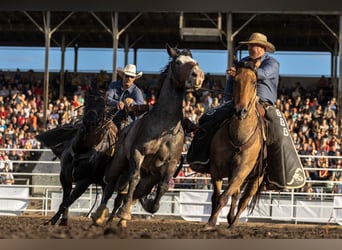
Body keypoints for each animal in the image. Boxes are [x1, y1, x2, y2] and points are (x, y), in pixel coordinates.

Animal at [36, 84, 118, 227]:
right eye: (87, 101)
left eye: (103, 105)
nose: (89, 122)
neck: (82, 148)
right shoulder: (64, 176)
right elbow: (65, 200)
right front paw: (61, 221)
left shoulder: (84, 181)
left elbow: (67, 201)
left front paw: (52, 221)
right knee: (106, 196)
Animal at [90, 44, 203, 227]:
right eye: (178, 62)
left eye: (196, 62)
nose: (198, 75)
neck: (164, 122)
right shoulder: (138, 153)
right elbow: (134, 179)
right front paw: (124, 213)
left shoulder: (171, 163)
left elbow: (162, 187)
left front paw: (144, 207)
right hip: (119, 162)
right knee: (111, 185)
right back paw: (99, 215)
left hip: (149, 178)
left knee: (125, 194)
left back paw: (118, 219)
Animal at [203, 60, 268, 230]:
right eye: (236, 80)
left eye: (254, 82)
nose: (240, 111)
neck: (238, 138)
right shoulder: (216, 168)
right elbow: (216, 196)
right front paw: (210, 222)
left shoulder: (241, 170)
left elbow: (224, 197)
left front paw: (212, 221)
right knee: (236, 194)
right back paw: (230, 218)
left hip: (256, 178)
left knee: (244, 200)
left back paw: (233, 224)